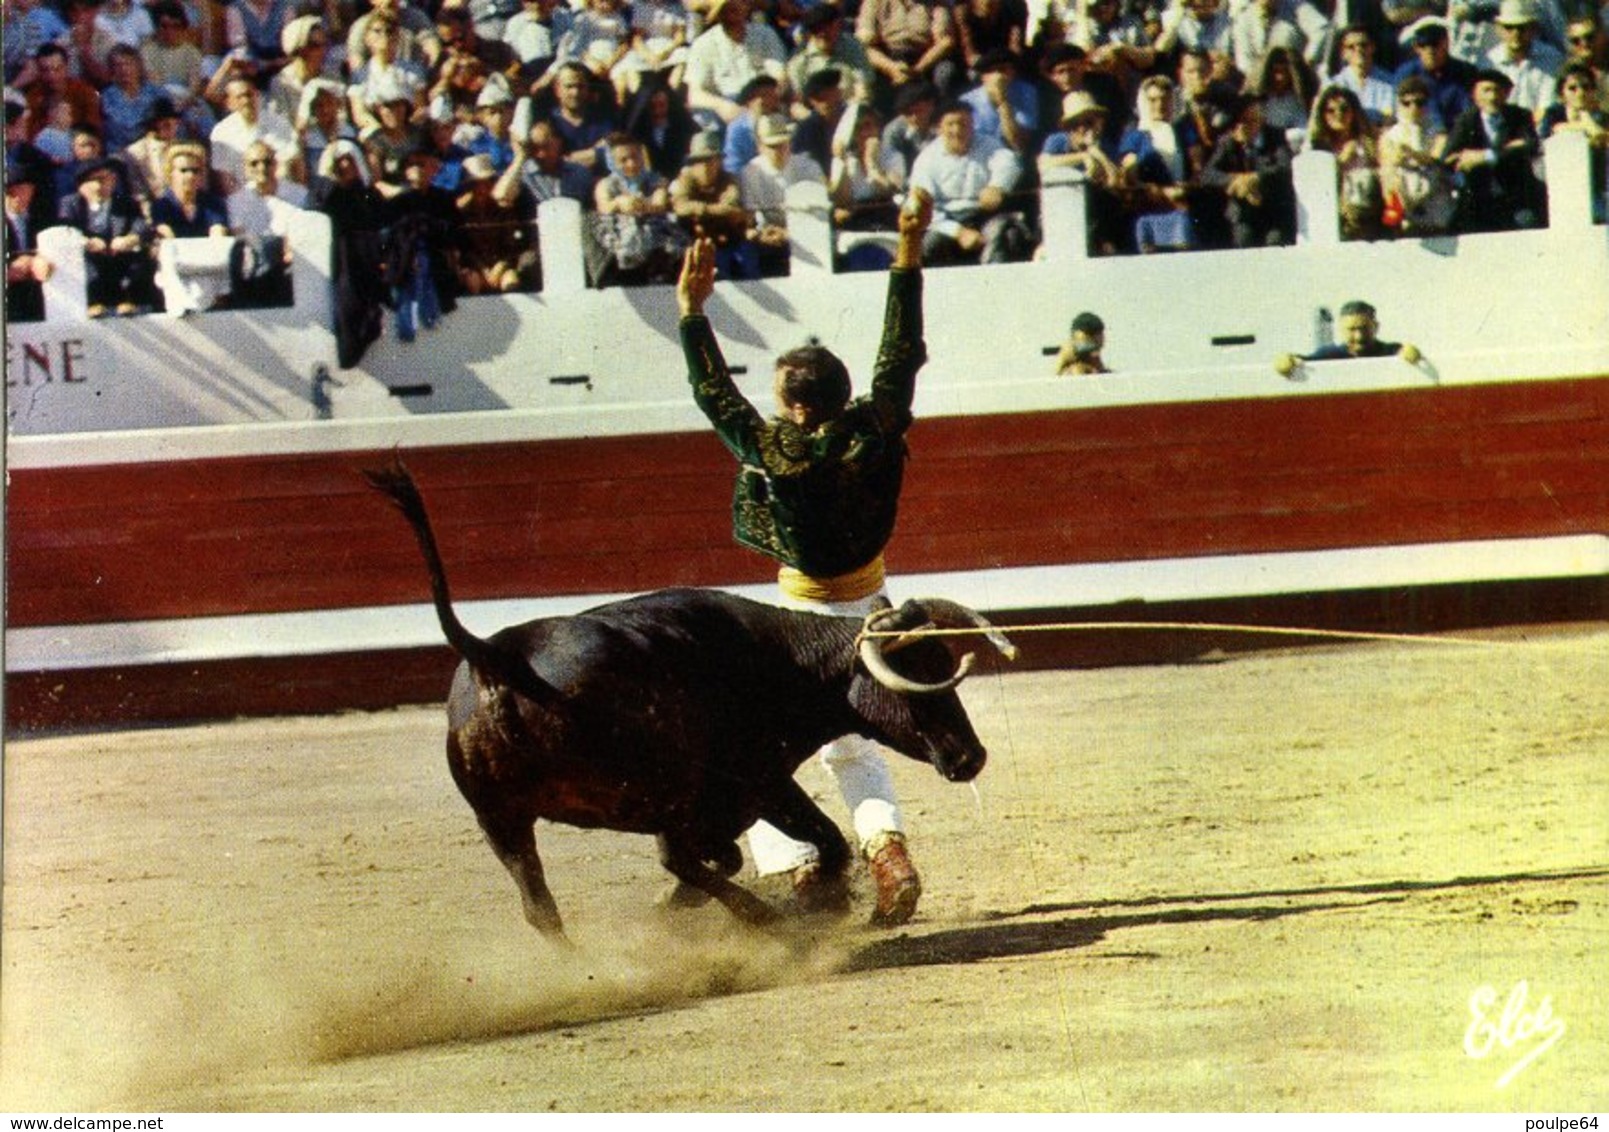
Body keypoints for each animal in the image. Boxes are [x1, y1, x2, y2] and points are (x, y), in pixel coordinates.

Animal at [370, 456, 1010, 939]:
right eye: (915, 677)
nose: (970, 756)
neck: (782, 661)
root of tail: (495, 655)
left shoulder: (757, 787)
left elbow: (796, 843)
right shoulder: (757, 780)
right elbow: (811, 844)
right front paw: (811, 904)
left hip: (501, 819)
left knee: (542, 906)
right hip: (654, 790)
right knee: (672, 857)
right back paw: (761, 919)